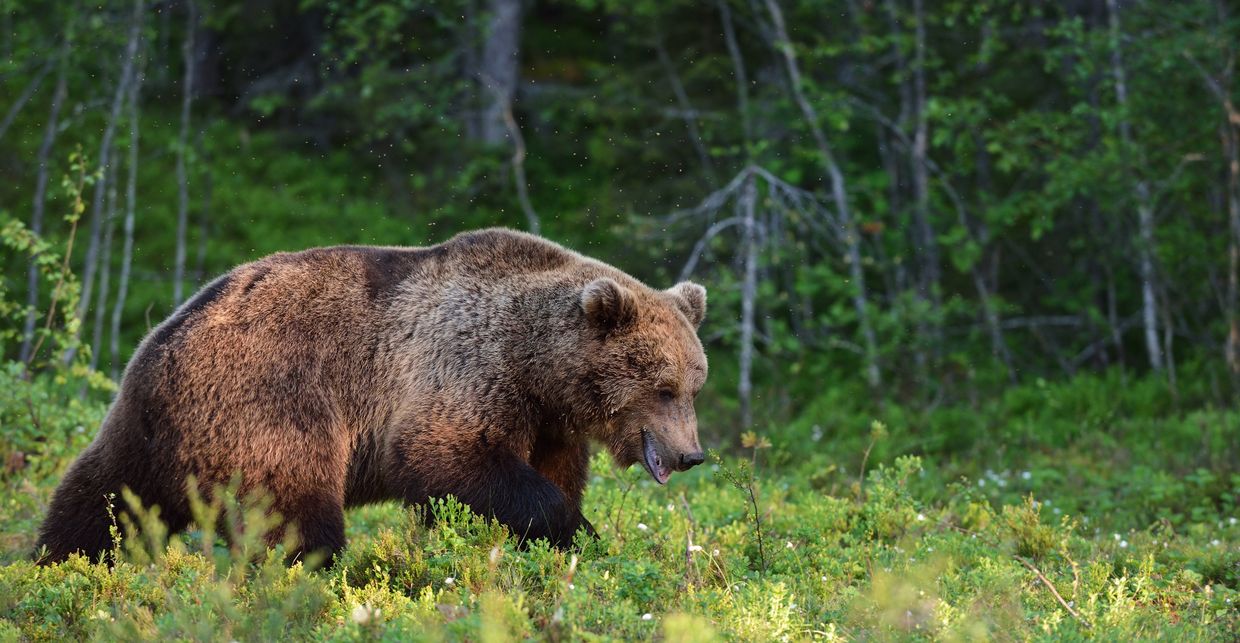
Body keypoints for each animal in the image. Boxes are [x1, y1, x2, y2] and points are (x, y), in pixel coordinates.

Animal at [35, 228, 708, 564]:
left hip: (143, 431)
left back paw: (57, 563)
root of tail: (163, 340)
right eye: (663, 387)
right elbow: (447, 457)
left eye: (694, 385)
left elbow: (554, 474)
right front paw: (571, 527)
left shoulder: (549, 421)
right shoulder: (465, 366)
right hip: (269, 403)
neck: (539, 367)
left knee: (97, 502)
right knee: (295, 515)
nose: (691, 455)